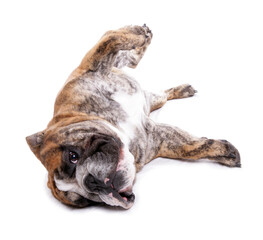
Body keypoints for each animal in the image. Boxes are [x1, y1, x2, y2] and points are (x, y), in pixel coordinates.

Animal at [26, 23, 241, 209]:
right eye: (84, 200)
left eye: (73, 156)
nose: (91, 182)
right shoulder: (161, 138)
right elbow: (193, 147)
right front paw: (225, 152)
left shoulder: (92, 65)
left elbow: (112, 37)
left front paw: (135, 33)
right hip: (155, 100)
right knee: (159, 91)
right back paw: (180, 89)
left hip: (117, 66)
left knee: (129, 58)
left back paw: (144, 36)